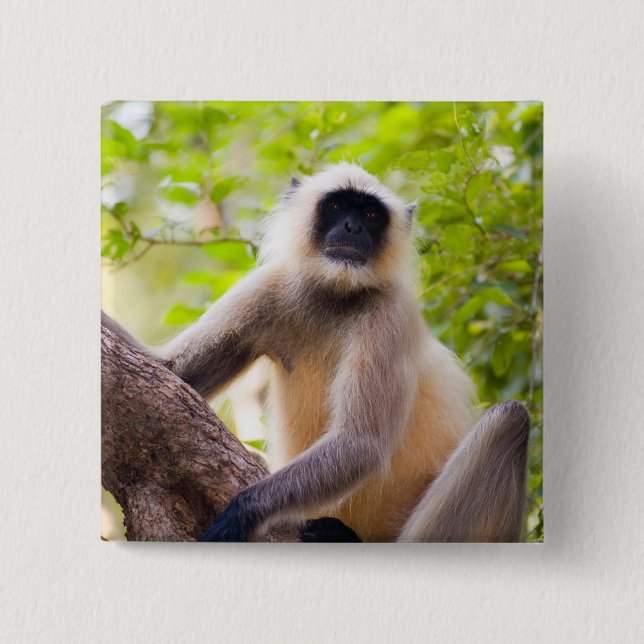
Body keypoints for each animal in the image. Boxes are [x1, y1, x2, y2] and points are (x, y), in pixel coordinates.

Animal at [103, 162, 530, 542]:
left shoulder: (390, 313)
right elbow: (170, 373)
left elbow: (361, 442)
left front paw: (241, 514)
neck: (334, 294)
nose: (353, 227)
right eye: (337, 206)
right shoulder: (270, 285)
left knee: (511, 418)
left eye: (371, 214)